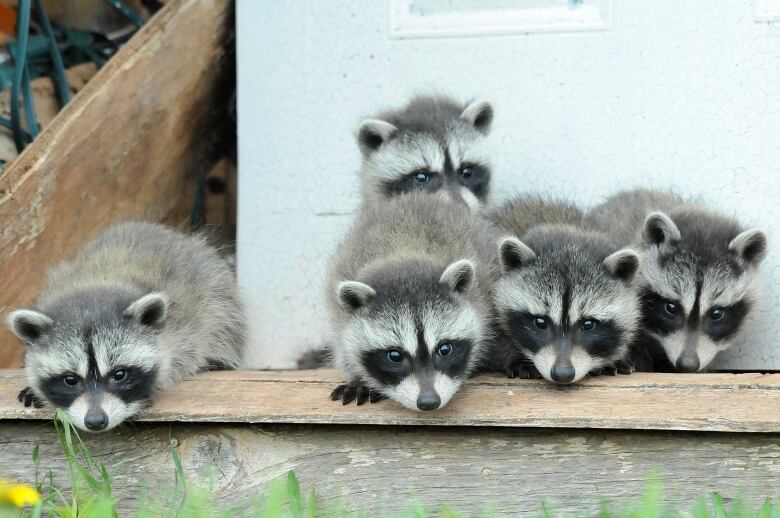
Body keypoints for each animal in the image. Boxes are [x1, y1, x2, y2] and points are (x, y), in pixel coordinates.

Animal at [5, 223, 244, 434]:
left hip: (219, 296)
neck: (97, 283)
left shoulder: (186, 328)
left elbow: (184, 356)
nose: (95, 421)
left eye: (119, 374)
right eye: (70, 379)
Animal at [326, 193, 496, 412]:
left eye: (445, 349)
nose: (429, 402)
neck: (404, 252)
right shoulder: (337, 304)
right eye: (395, 356)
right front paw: (358, 378)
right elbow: (343, 343)